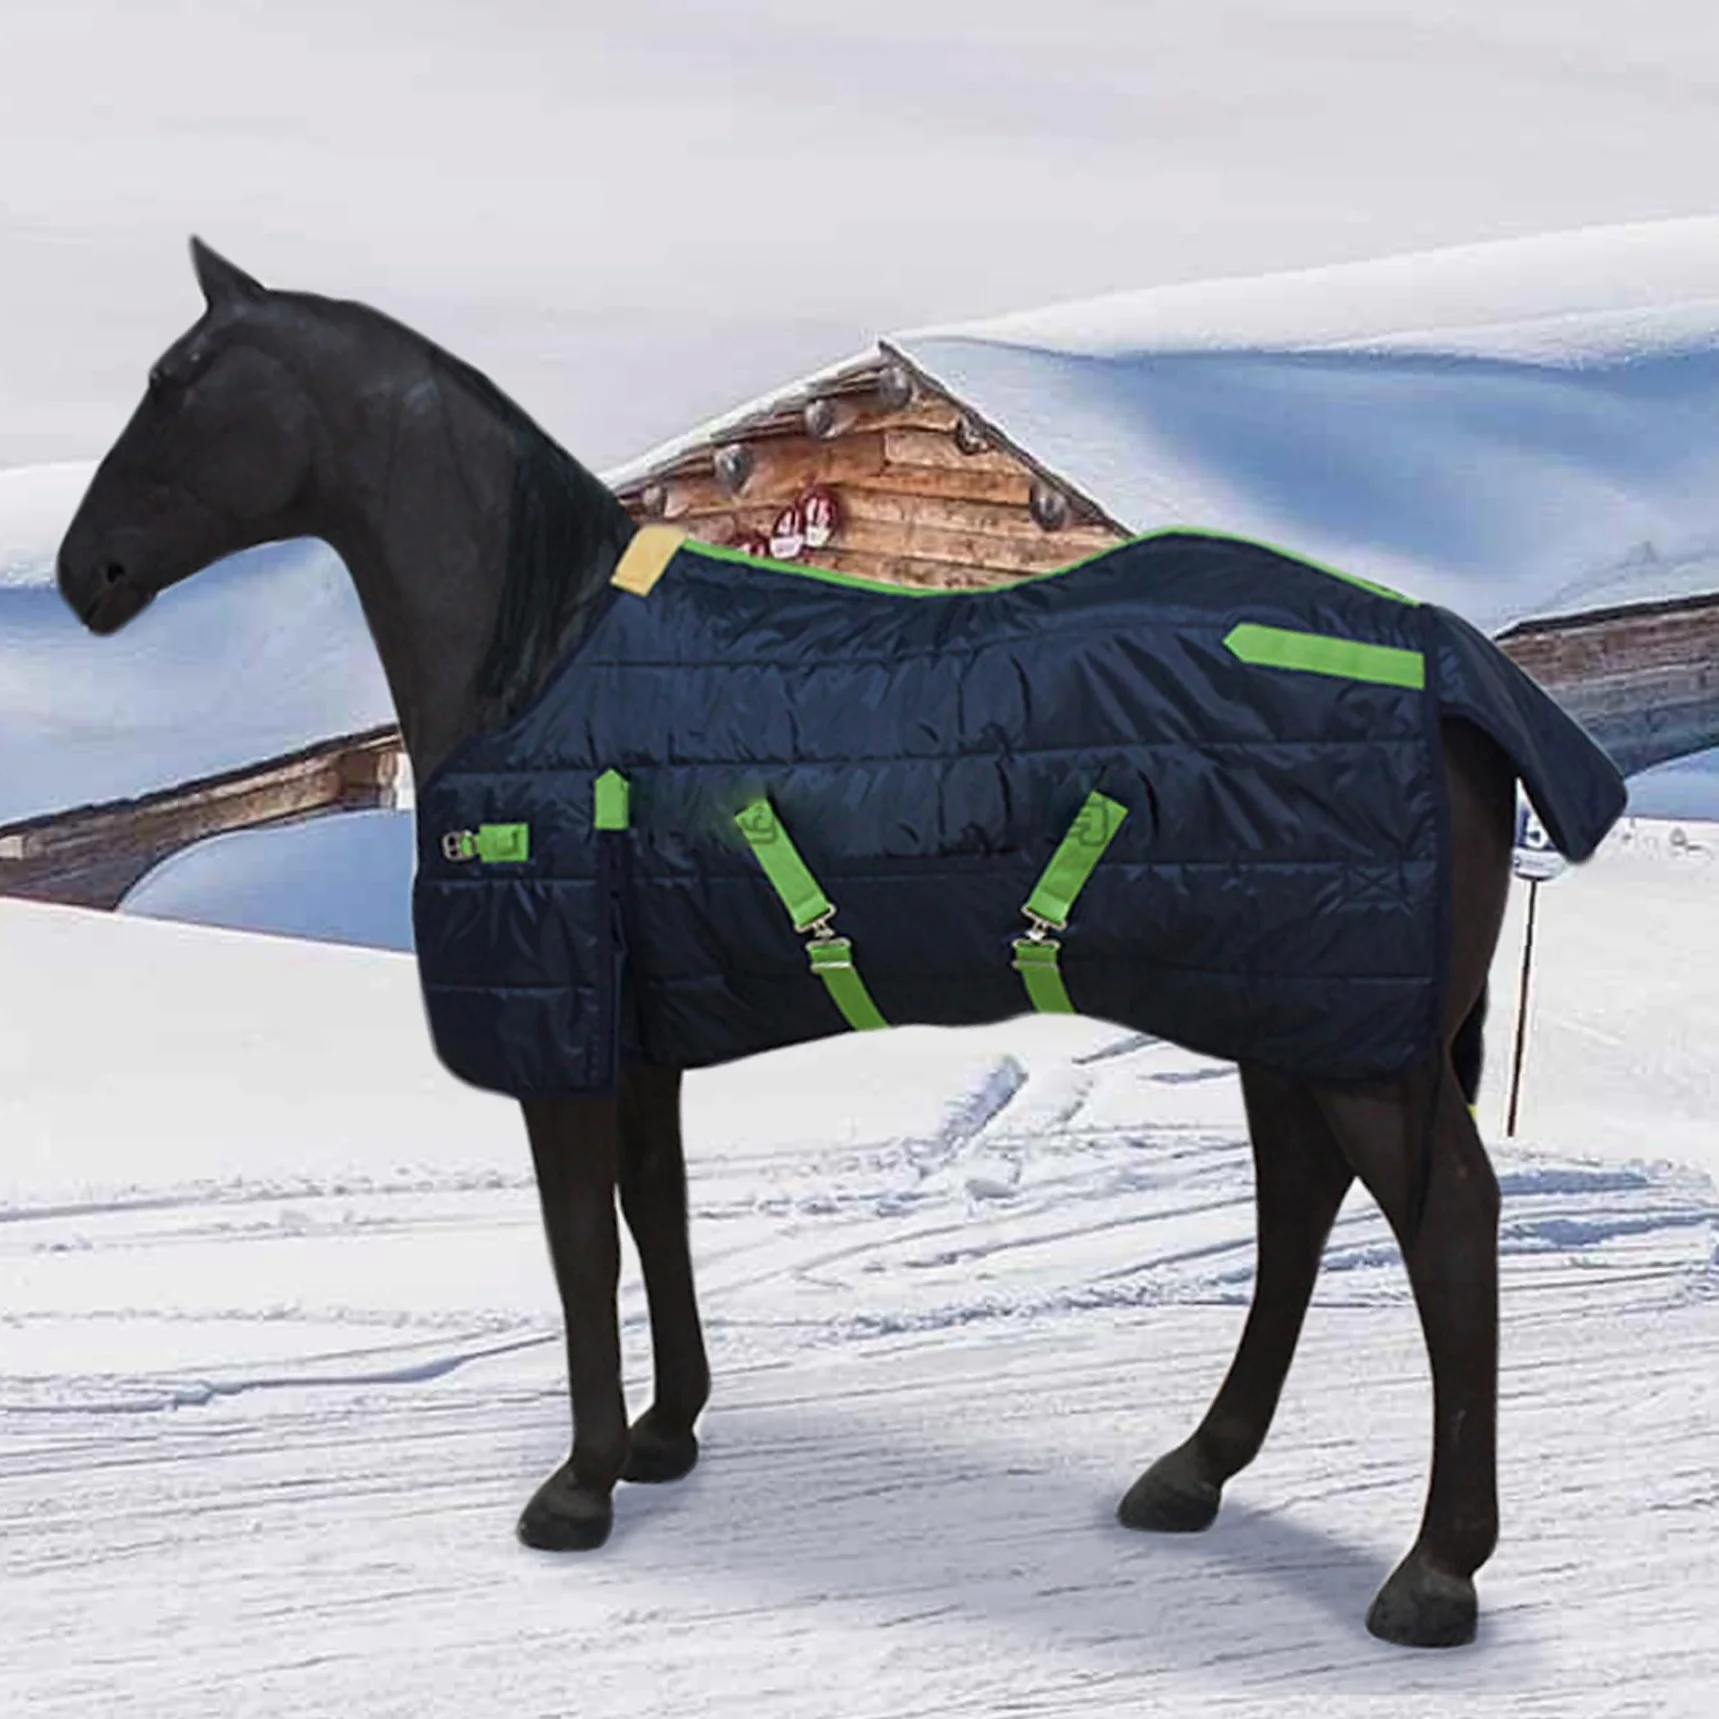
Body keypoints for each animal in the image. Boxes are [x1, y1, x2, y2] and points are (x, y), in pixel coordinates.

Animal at [58, 238, 1541, 1650]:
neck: (538, 659)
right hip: (1291, 1017)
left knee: (1446, 1227)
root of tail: (1449, 665)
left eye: (181, 383)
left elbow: (581, 1250)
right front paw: (662, 1436)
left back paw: (1432, 1572)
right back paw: (1192, 1474)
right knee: (1299, 1209)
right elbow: (653, 1216)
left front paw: (578, 1487)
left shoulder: (562, 1037)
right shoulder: (638, 1035)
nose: (86, 575)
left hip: (1351, 1043)